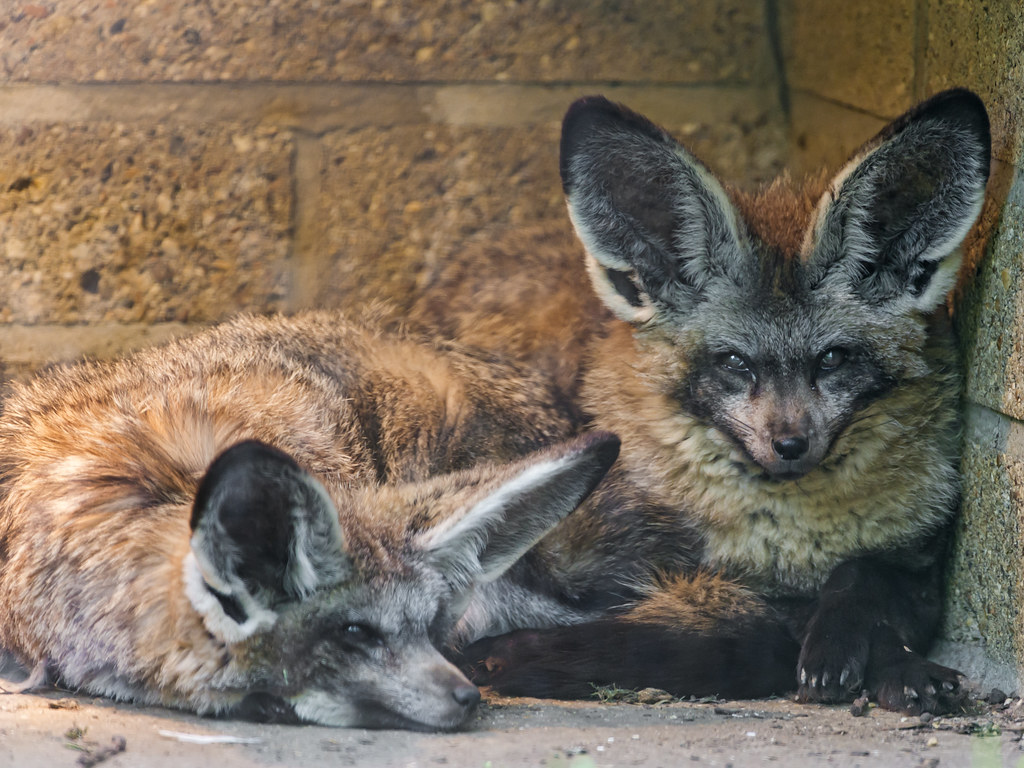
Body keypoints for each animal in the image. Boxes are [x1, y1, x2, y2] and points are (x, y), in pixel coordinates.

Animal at [409, 90, 991, 716]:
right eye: (735, 363)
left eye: (833, 358)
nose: (790, 444)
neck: (788, 546)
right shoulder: (609, 566)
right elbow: (752, 631)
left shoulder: (920, 565)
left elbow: (863, 580)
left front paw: (877, 659)